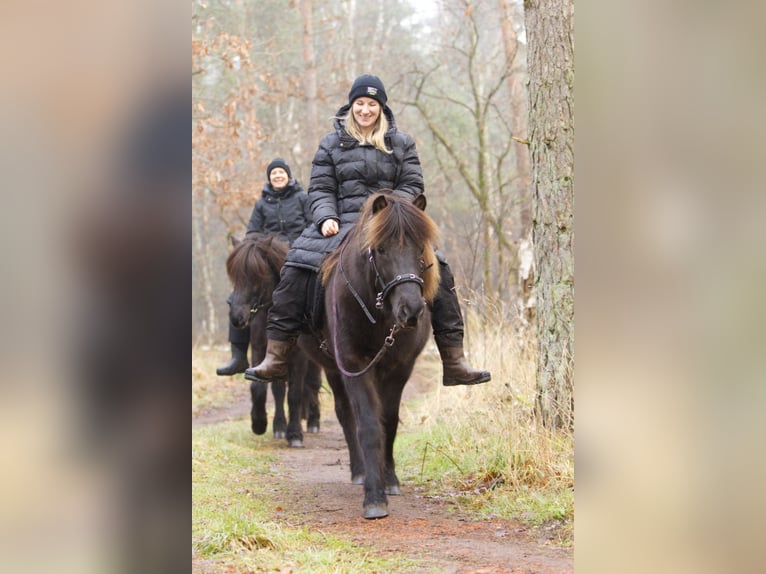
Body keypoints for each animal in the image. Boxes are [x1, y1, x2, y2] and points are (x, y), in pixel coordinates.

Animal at [228, 235, 324, 450]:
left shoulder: (299, 357)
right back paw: (280, 425)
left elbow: (295, 393)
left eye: (258, 276)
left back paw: (313, 421)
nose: (237, 317)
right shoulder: (260, 350)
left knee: (313, 384)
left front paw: (295, 434)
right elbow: (261, 388)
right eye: (234, 276)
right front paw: (260, 423)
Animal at [302, 191, 444, 520]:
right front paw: (374, 497)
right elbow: (367, 423)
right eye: (380, 249)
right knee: (346, 414)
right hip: (333, 369)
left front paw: (389, 480)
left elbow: (388, 421)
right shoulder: (354, 365)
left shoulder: (400, 367)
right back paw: (360, 472)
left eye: (420, 247)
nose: (411, 310)